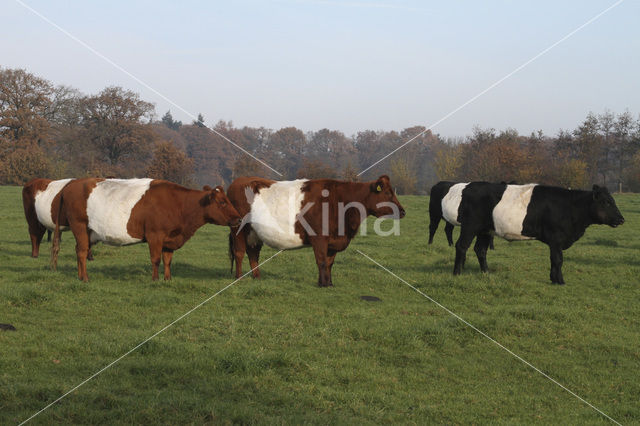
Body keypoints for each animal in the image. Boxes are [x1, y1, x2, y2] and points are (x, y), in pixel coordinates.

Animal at [52, 177, 242, 282]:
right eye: (222, 202)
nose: (239, 218)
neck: (178, 204)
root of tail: (72, 184)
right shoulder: (155, 235)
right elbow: (156, 259)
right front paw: (155, 279)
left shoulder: (170, 239)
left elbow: (167, 260)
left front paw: (168, 279)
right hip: (79, 225)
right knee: (82, 252)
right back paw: (85, 278)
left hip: (87, 232)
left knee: (79, 250)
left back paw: (79, 276)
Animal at [225, 175, 404, 288]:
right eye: (387, 193)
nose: (403, 211)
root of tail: (238, 181)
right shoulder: (319, 238)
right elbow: (322, 261)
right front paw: (323, 284)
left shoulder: (333, 240)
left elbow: (330, 262)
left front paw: (329, 283)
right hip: (238, 229)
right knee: (239, 252)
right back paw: (238, 278)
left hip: (254, 232)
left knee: (253, 253)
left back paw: (257, 277)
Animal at [448, 182, 624, 284]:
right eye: (606, 202)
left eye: (613, 201)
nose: (622, 219)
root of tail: (469, 186)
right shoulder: (556, 238)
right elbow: (558, 259)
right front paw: (560, 281)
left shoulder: (556, 241)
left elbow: (554, 260)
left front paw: (554, 279)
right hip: (470, 226)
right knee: (461, 246)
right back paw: (457, 273)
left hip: (485, 230)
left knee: (480, 249)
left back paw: (486, 273)